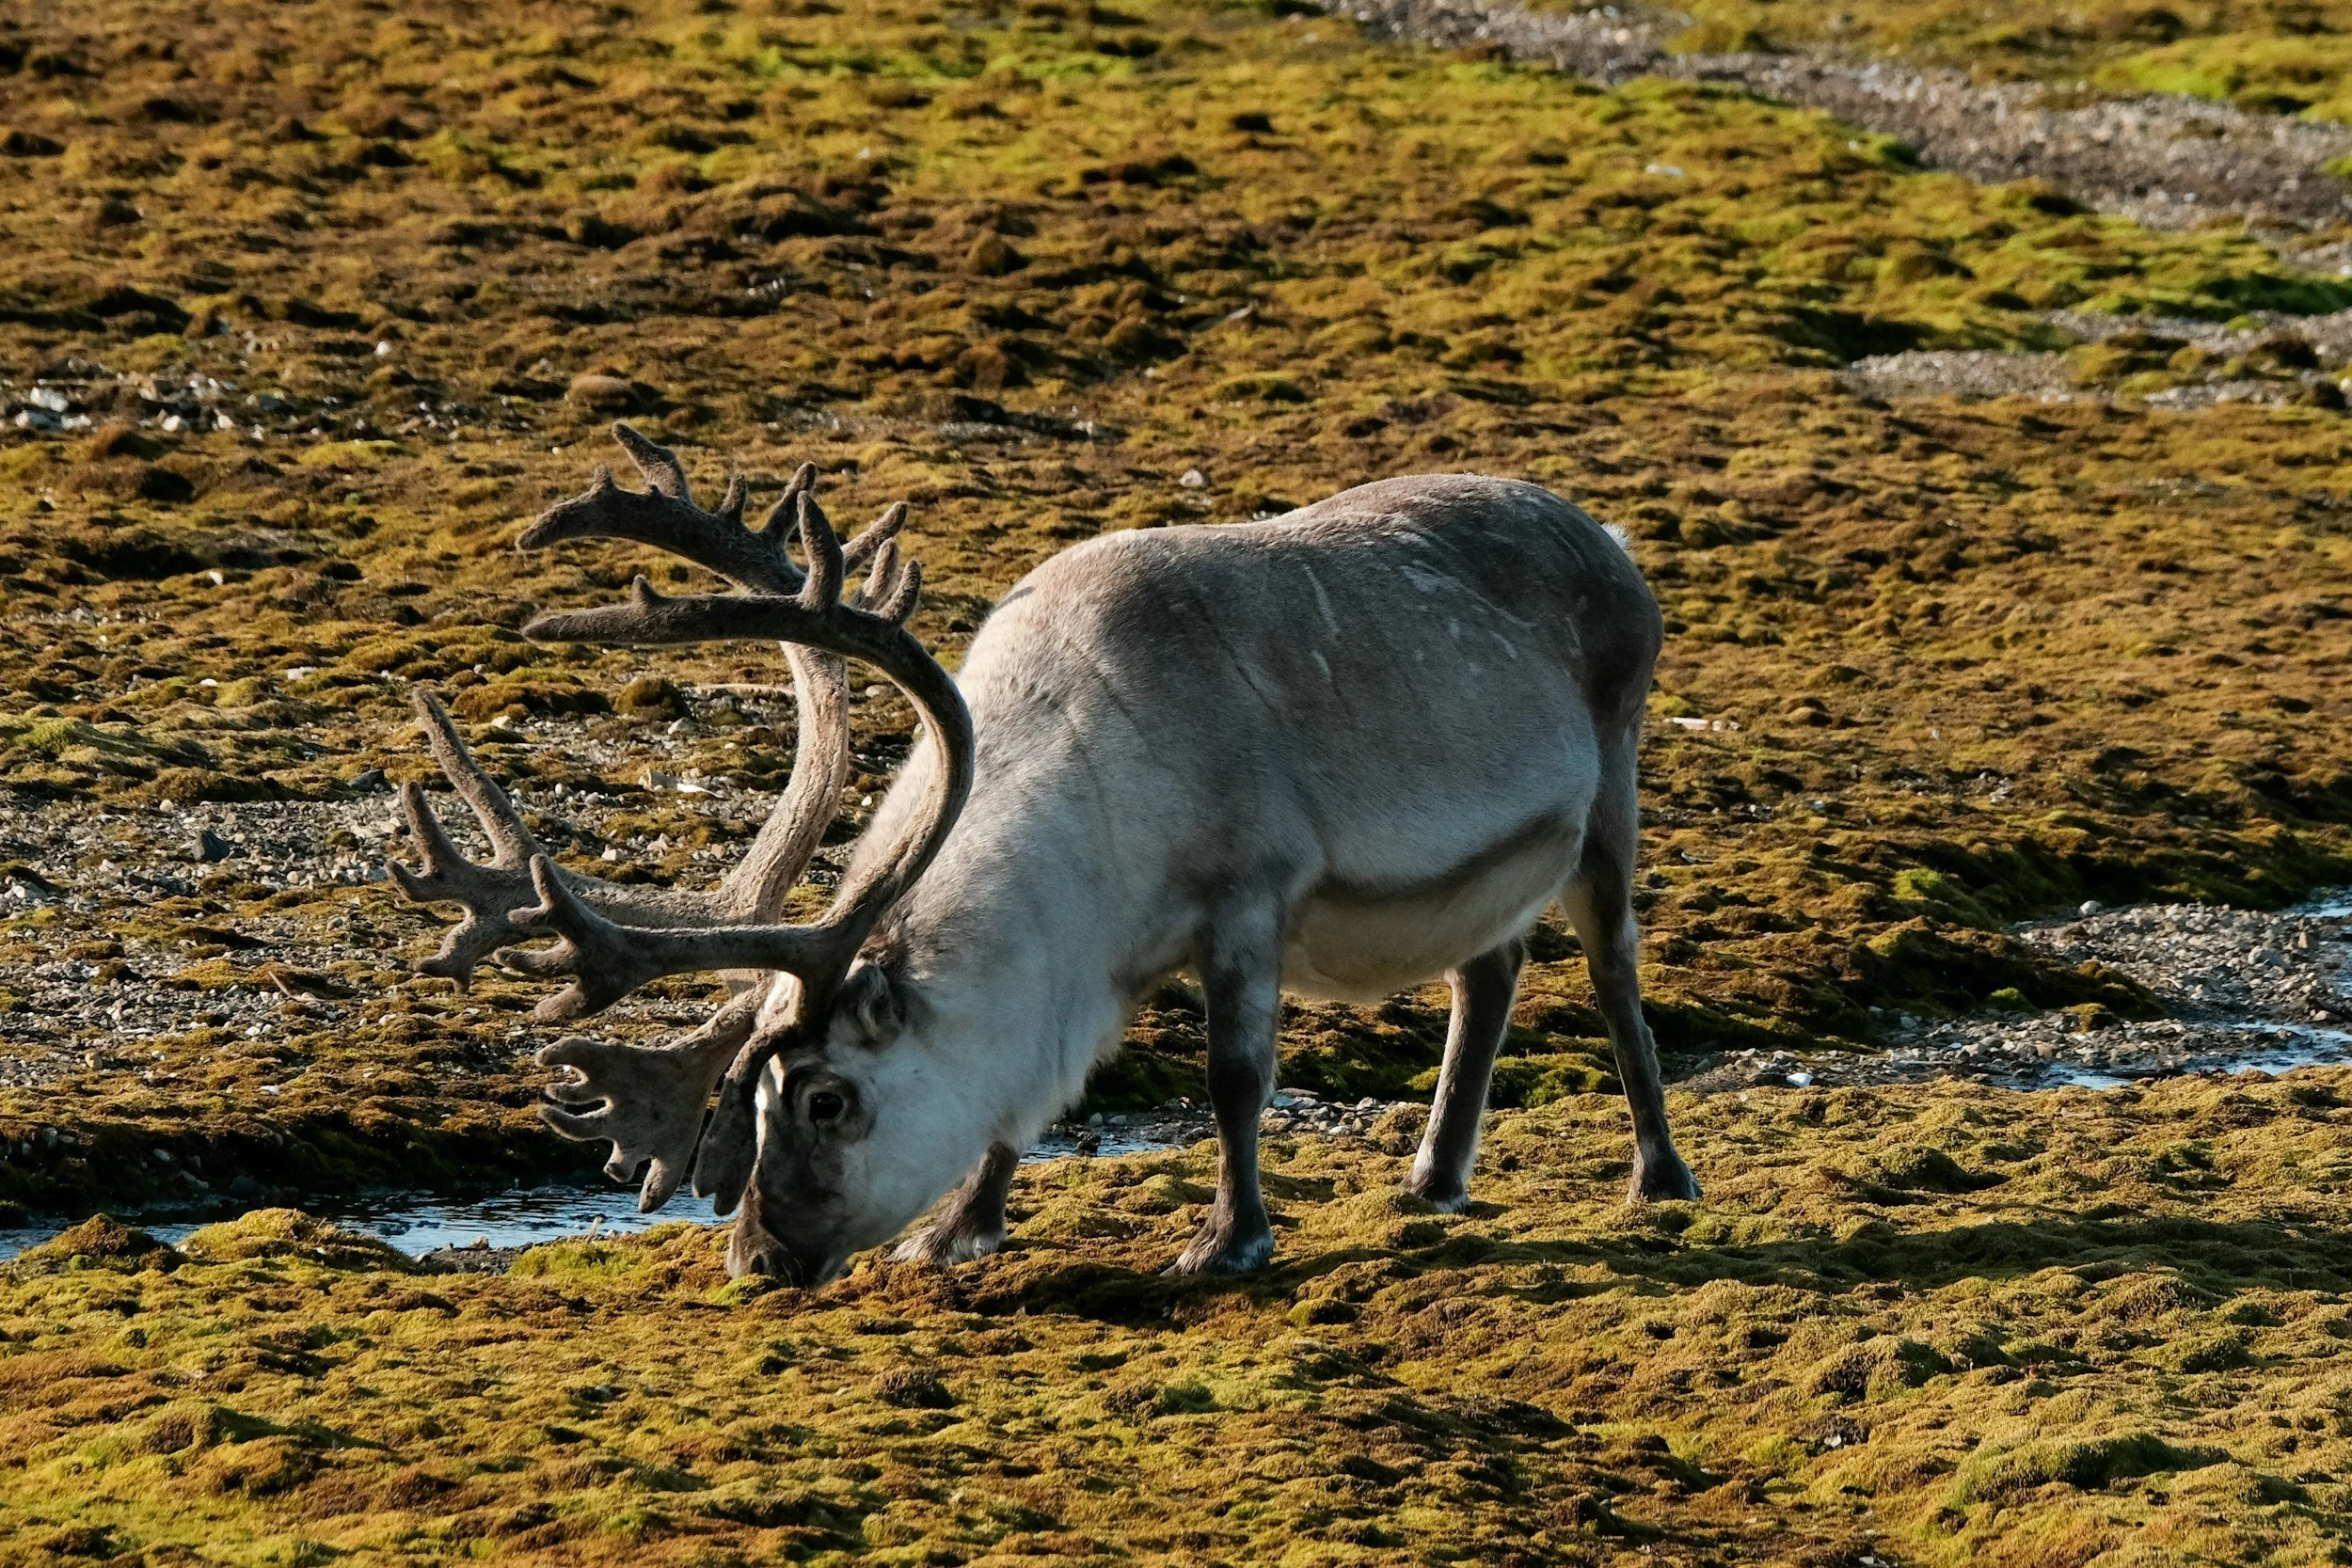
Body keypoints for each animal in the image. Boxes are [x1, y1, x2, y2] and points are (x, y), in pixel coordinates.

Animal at [381, 423, 1699, 1284]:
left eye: (825, 1096)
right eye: (742, 1100)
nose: (755, 1257)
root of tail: (1612, 541)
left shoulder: (1249, 900)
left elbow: (1235, 1079)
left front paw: (1226, 1240)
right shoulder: (1092, 965)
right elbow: (1021, 1098)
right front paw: (955, 1228)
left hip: (1611, 793)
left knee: (1612, 969)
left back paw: (1659, 1175)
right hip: (1487, 874)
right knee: (1489, 968)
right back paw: (1432, 1178)